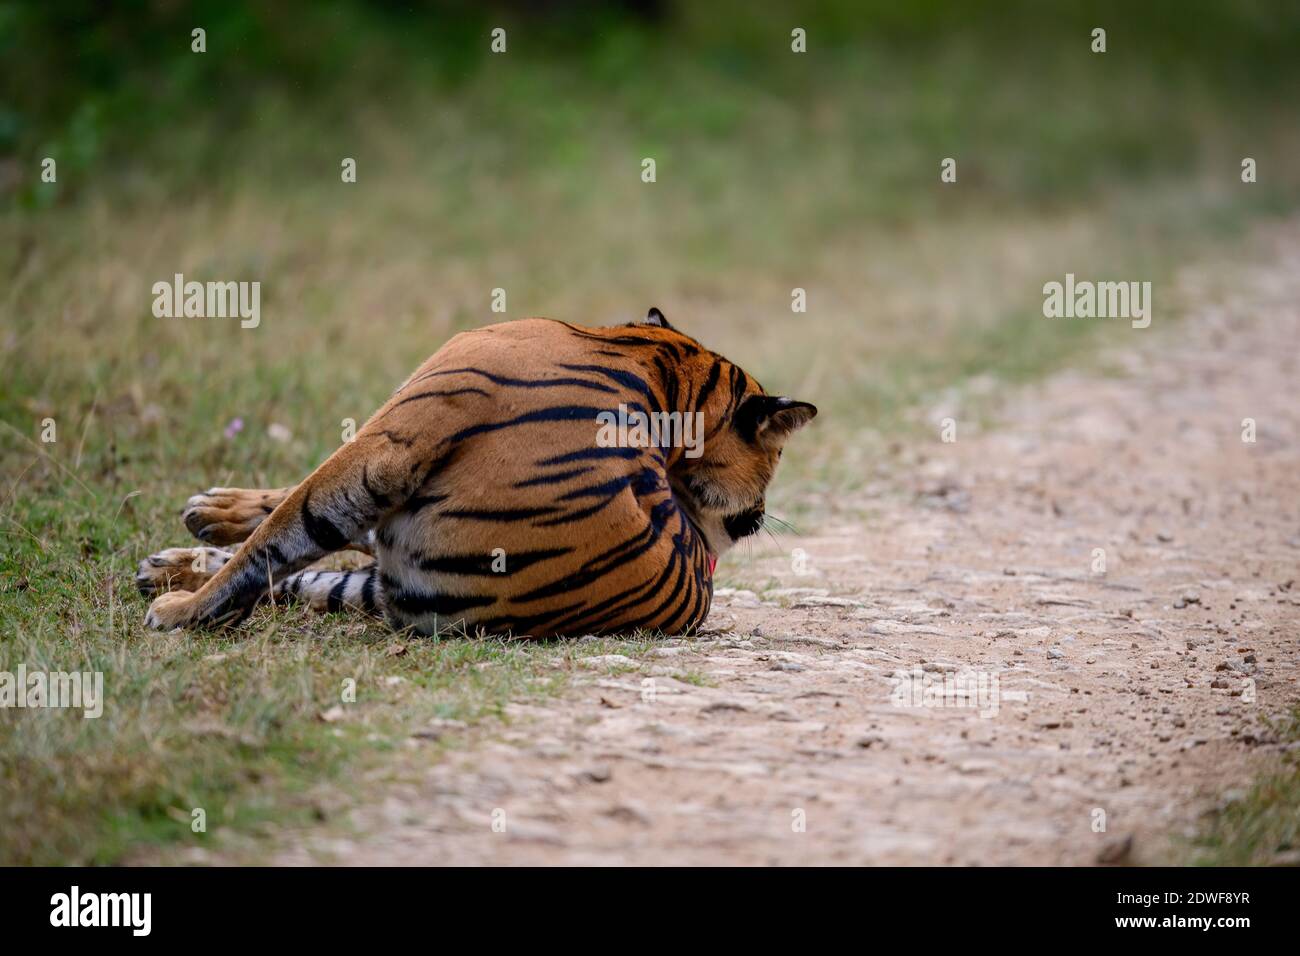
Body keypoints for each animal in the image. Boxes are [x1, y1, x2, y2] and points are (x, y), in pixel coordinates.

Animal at [136, 309, 817, 637]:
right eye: (779, 454)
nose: (758, 517)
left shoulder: (395, 437)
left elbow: (286, 529)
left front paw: (185, 606)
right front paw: (205, 525)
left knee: (300, 552)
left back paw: (174, 588)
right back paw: (177, 553)